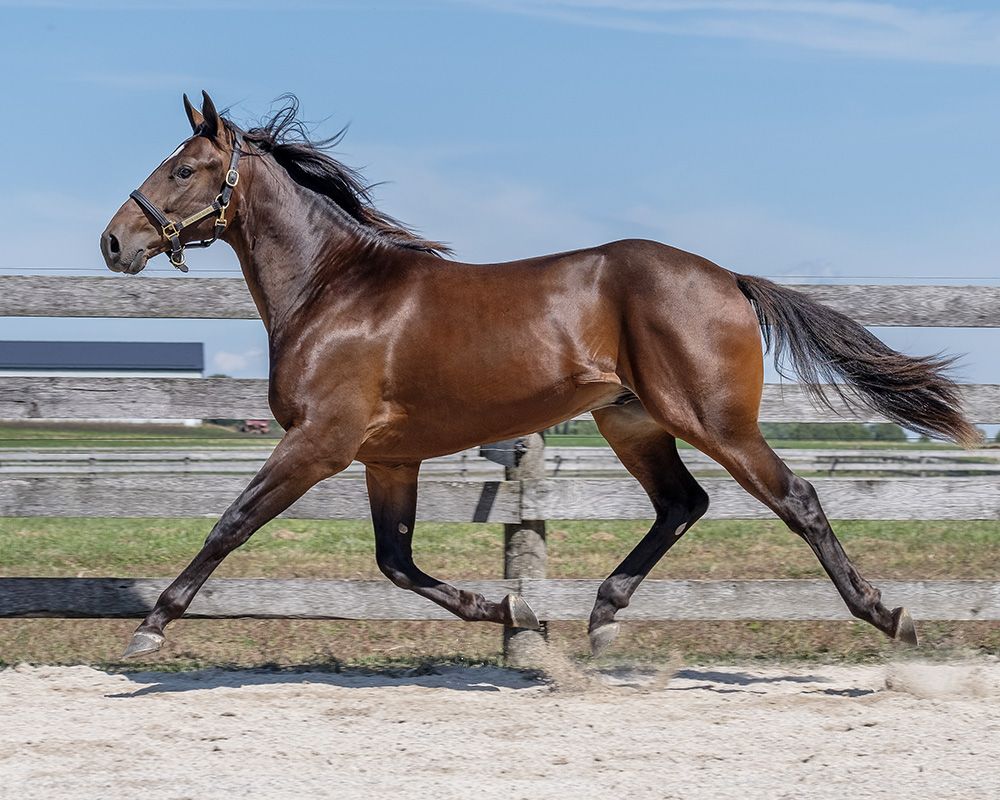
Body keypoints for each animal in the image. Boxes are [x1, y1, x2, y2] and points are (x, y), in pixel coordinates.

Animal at [100, 92, 977, 659]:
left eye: (187, 167)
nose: (114, 242)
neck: (332, 289)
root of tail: (729, 278)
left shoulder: (320, 442)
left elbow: (231, 523)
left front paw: (152, 626)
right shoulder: (388, 457)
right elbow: (396, 561)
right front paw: (507, 609)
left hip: (714, 420)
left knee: (794, 499)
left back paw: (891, 617)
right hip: (630, 419)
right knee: (682, 503)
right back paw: (601, 615)